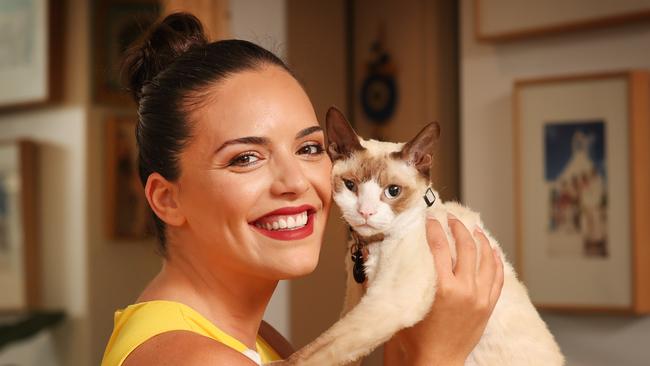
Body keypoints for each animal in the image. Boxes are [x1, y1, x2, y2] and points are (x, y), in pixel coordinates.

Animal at [268, 107, 560, 364]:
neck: (371, 248)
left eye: (393, 191)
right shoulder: (355, 299)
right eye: (351, 186)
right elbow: (338, 351)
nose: (365, 212)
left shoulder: (388, 300)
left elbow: (320, 348)